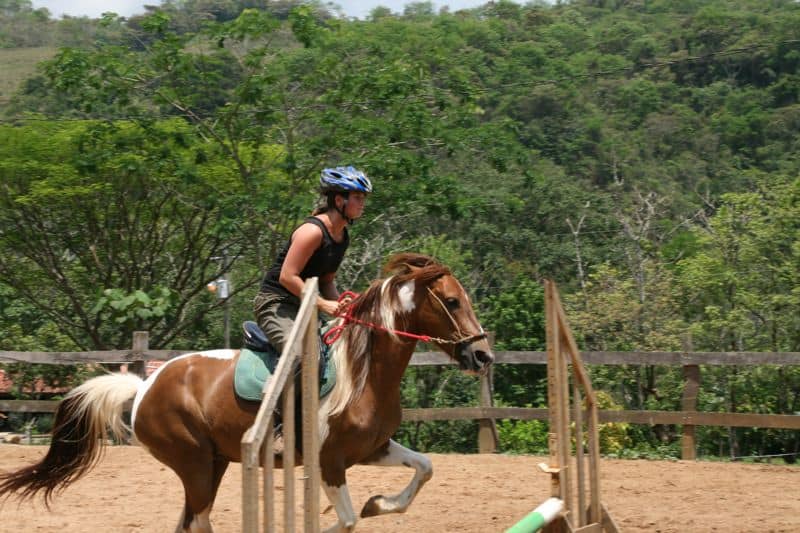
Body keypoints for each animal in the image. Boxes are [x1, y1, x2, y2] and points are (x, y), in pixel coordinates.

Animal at [0, 252, 494, 528]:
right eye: (452, 302)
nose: (483, 355)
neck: (364, 372)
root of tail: (143, 387)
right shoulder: (330, 460)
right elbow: (348, 520)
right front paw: (364, 509)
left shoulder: (373, 448)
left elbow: (423, 468)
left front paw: (379, 503)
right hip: (196, 465)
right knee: (198, 520)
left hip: (213, 463)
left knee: (190, 522)